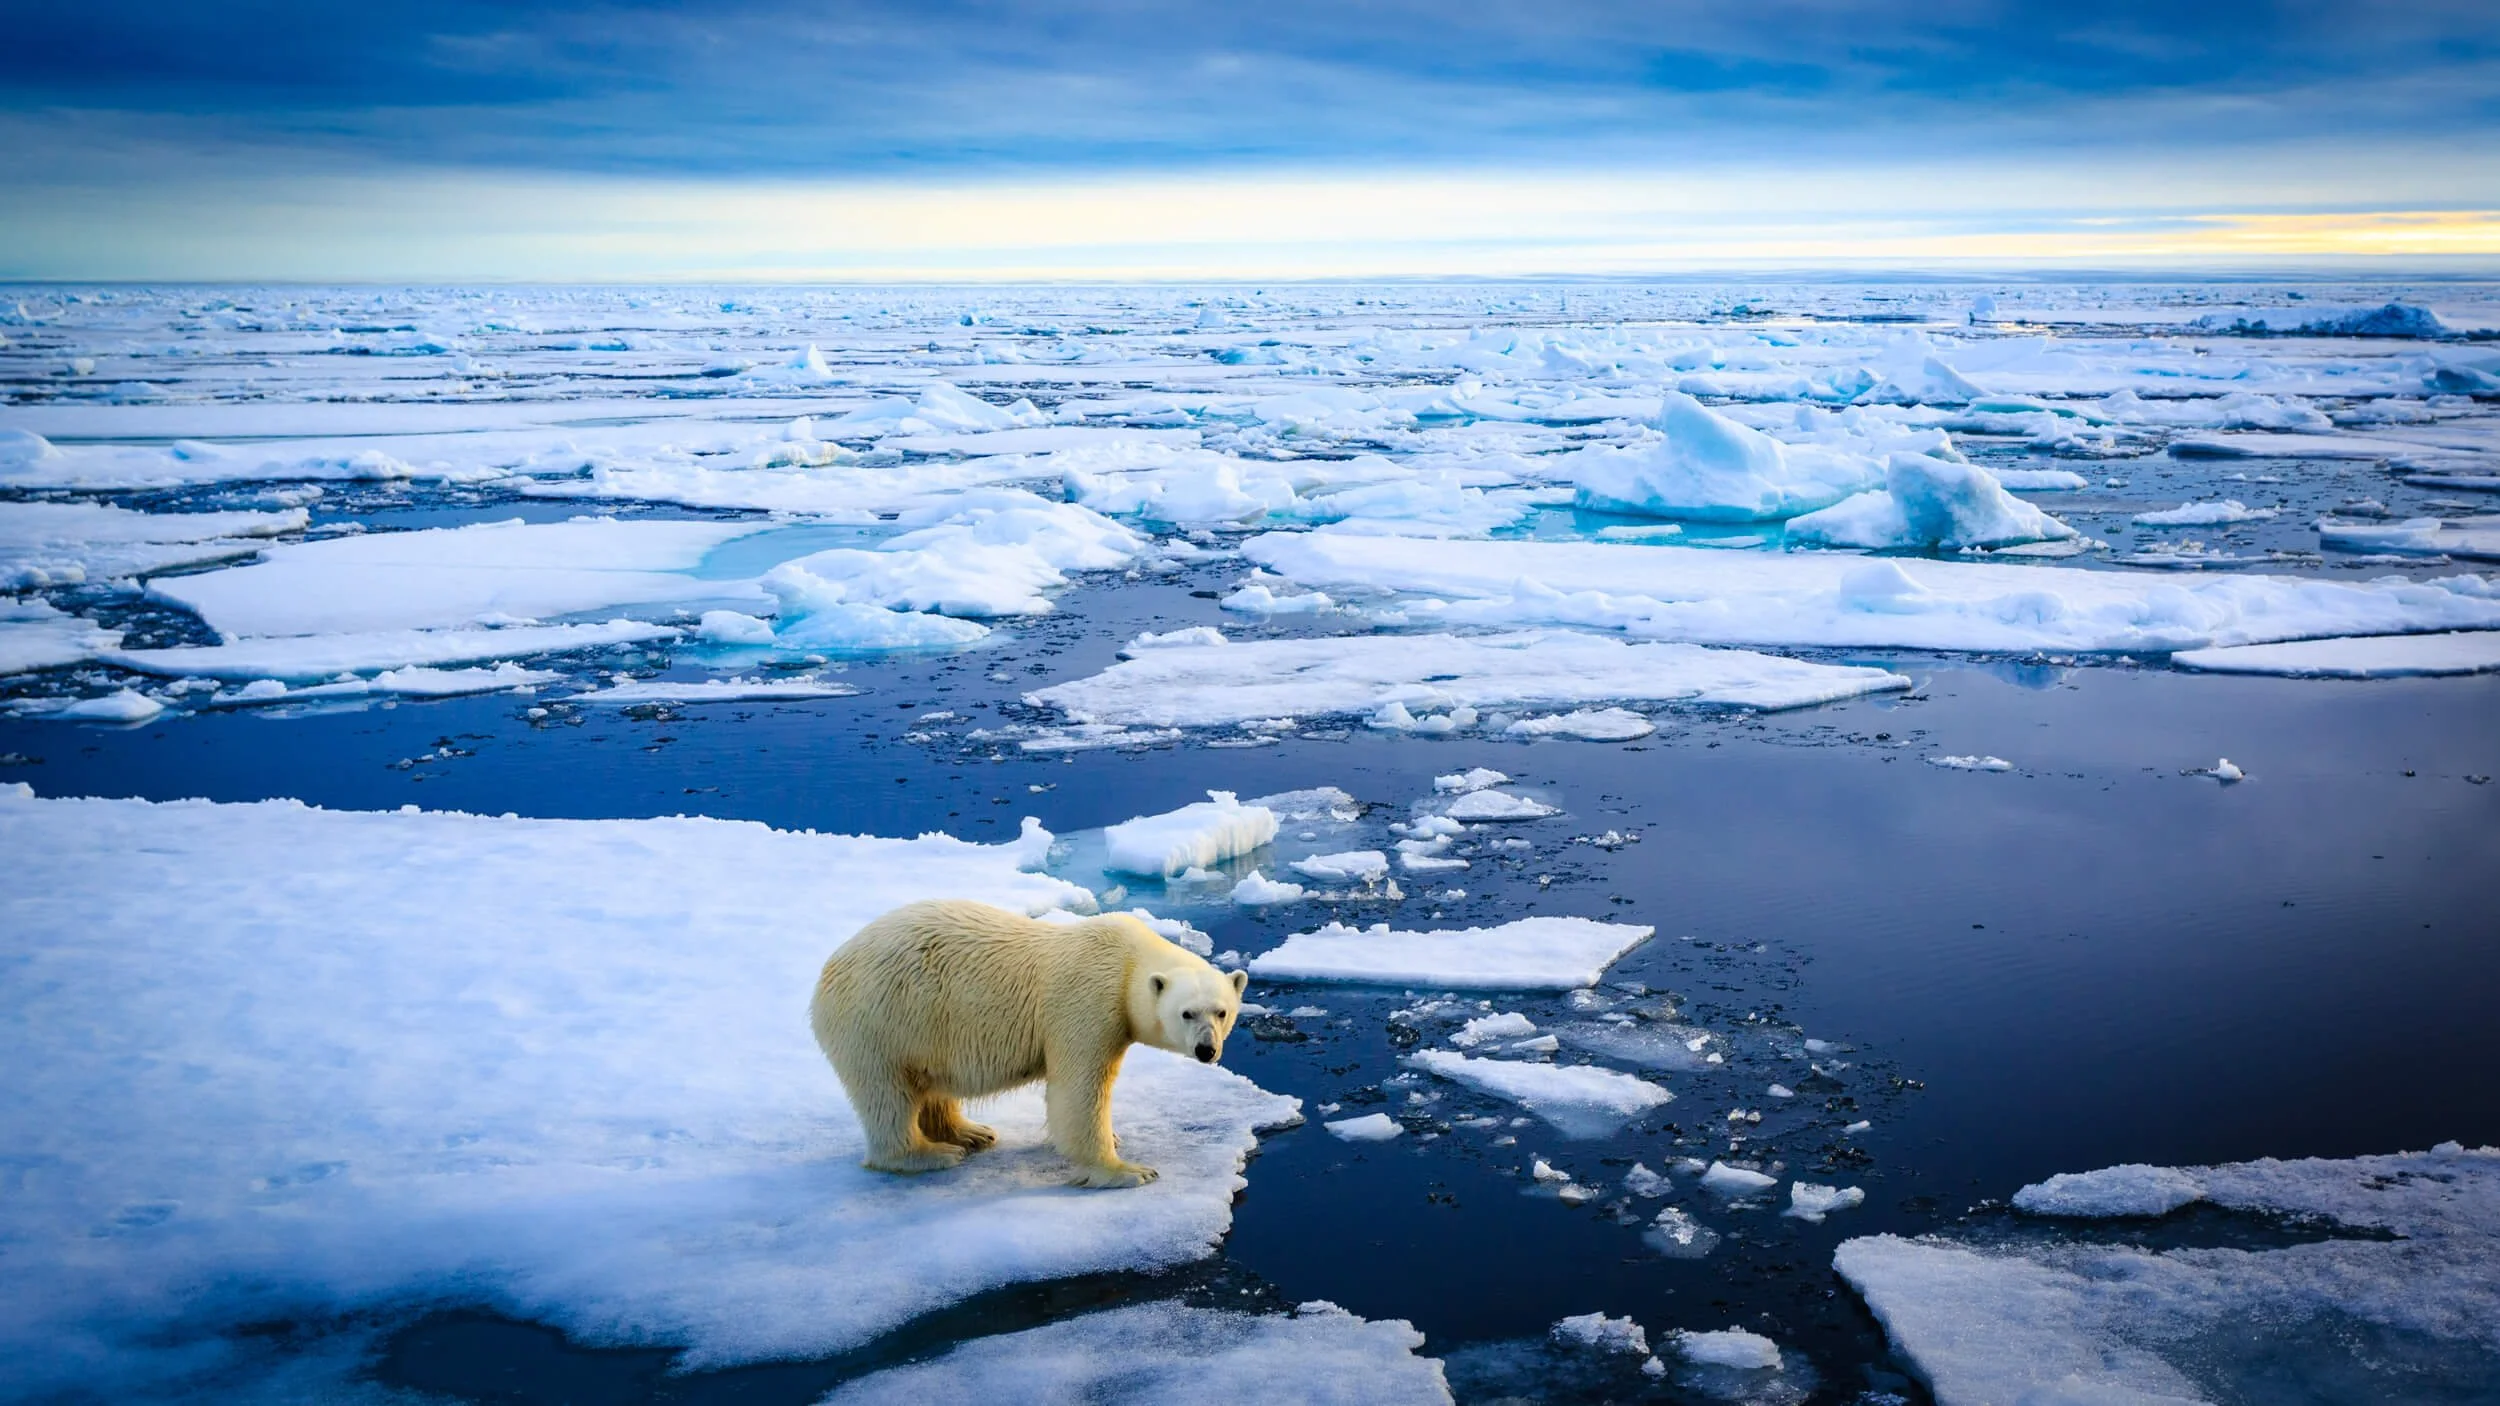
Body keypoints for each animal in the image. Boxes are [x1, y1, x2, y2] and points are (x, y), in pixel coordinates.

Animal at [810, 898, 1248, 1188]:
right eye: (1186, 1013)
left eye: (1221, 1011)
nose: (1207, 1050)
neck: (1128, 962)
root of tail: (829, 970)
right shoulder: (1088, 1003)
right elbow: (1079, 1090)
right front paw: (1129, 1170)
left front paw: (1116, 1139)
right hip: (879, 1021)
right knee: (887, 1094)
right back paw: (929, 1154)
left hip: (920, 1027)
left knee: (928, 1084)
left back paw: (969, 1134)